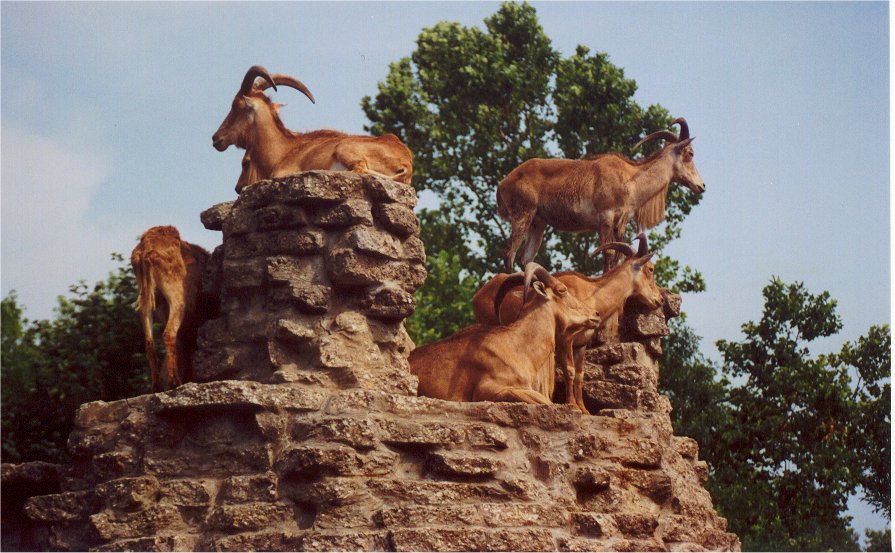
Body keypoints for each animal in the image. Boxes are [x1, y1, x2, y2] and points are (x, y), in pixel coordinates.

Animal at [130, 226, 218, 392]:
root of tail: (146, 251)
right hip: (177, 299)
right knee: (169, 334)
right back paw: (174, 382)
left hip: (146, 301)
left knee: (149, 342)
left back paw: (157, 386)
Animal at [213, 65, 413, 193]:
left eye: (236, 106)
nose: (216, 138)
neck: (283, 150)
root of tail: (406, 162)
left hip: (345, 148)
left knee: (360, 169)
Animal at [471, 234, 663, 414]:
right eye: (651, 268)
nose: (659, 299)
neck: (592, 296)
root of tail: (478, 295)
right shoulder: (565, 339)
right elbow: (569, 370)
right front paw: (572, 405)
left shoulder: (581, 344)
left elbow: (579, 375)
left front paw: (584, 409)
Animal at [496, 118, 704, 273]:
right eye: (690, 153)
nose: (701, 186)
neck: (630, 179)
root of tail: (503, 183)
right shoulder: (606, 217)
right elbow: (609, 253)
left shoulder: (620, 224)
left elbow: (619, 255)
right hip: (523, 214)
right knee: (508, 253)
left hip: (538, 223)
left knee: (525, 258)